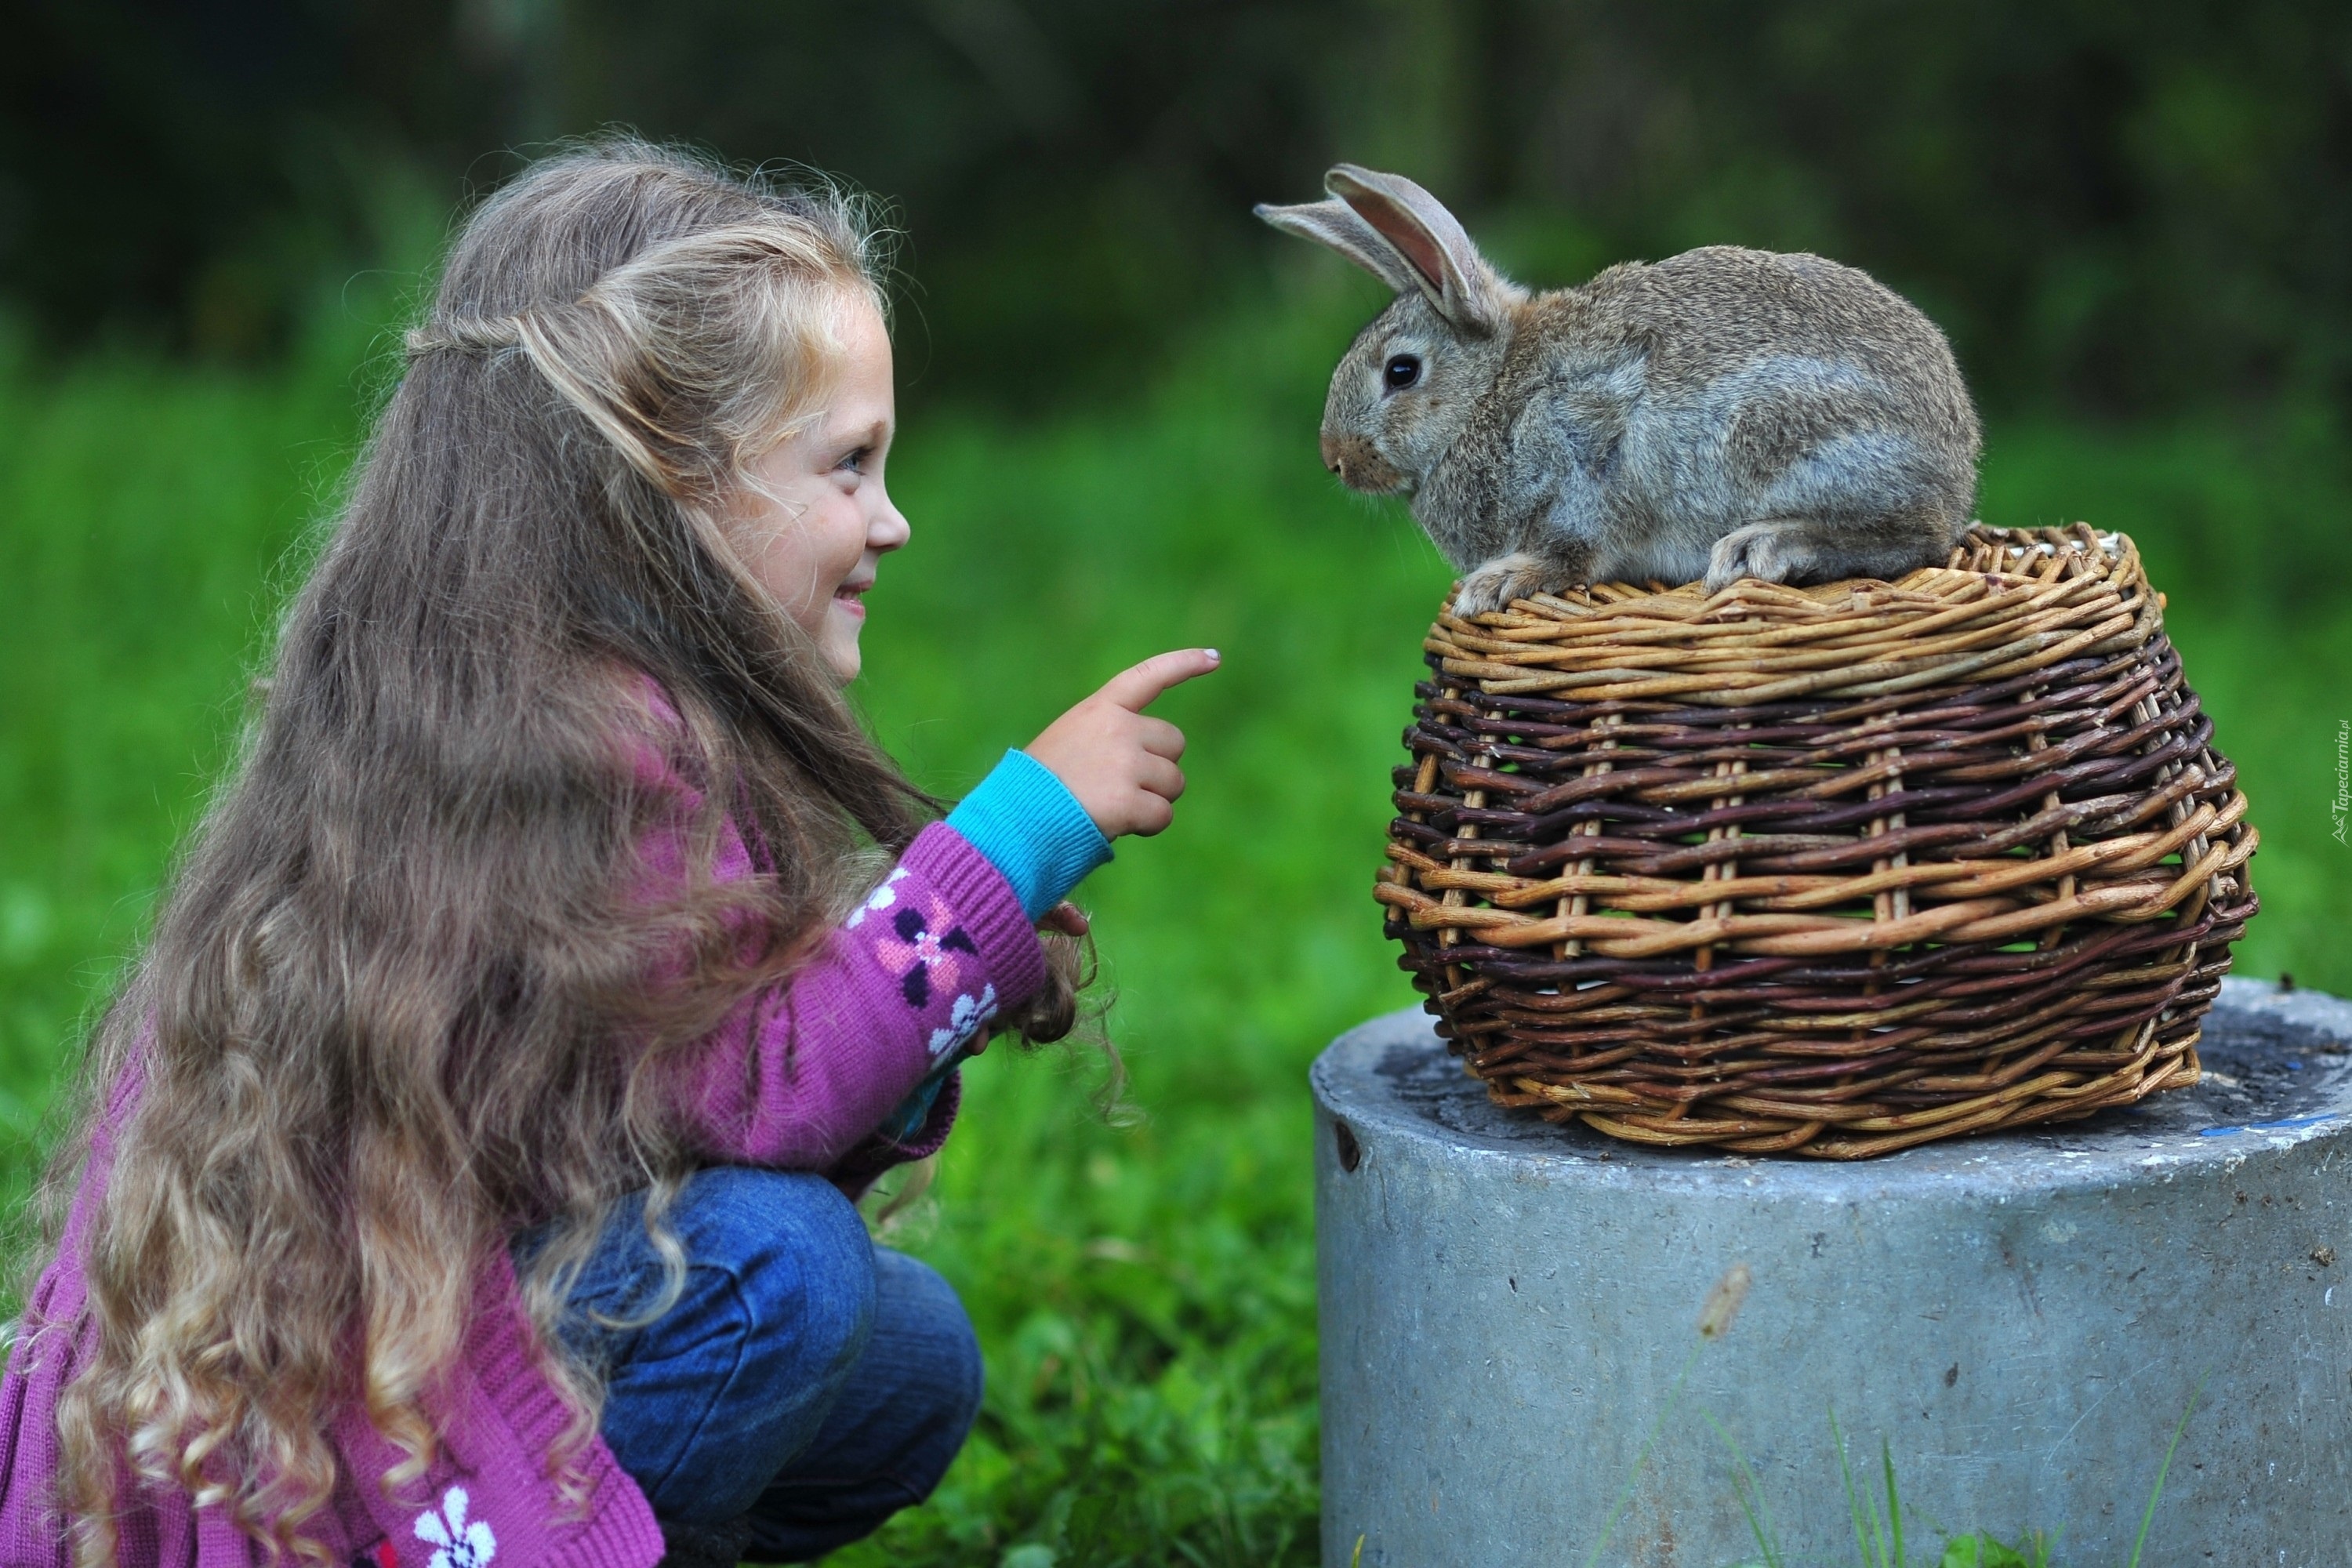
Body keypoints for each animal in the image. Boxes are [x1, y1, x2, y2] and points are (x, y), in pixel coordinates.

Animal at [1261, 165, 1976, 615]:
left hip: (1780, 434)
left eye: (1401, 372)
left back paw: (1764, 547)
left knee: (1916, 539)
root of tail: (1959, 468)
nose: (1334, 458)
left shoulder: (1574, 462)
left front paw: (1496, 584)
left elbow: (1572, 553)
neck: (1492, 392)